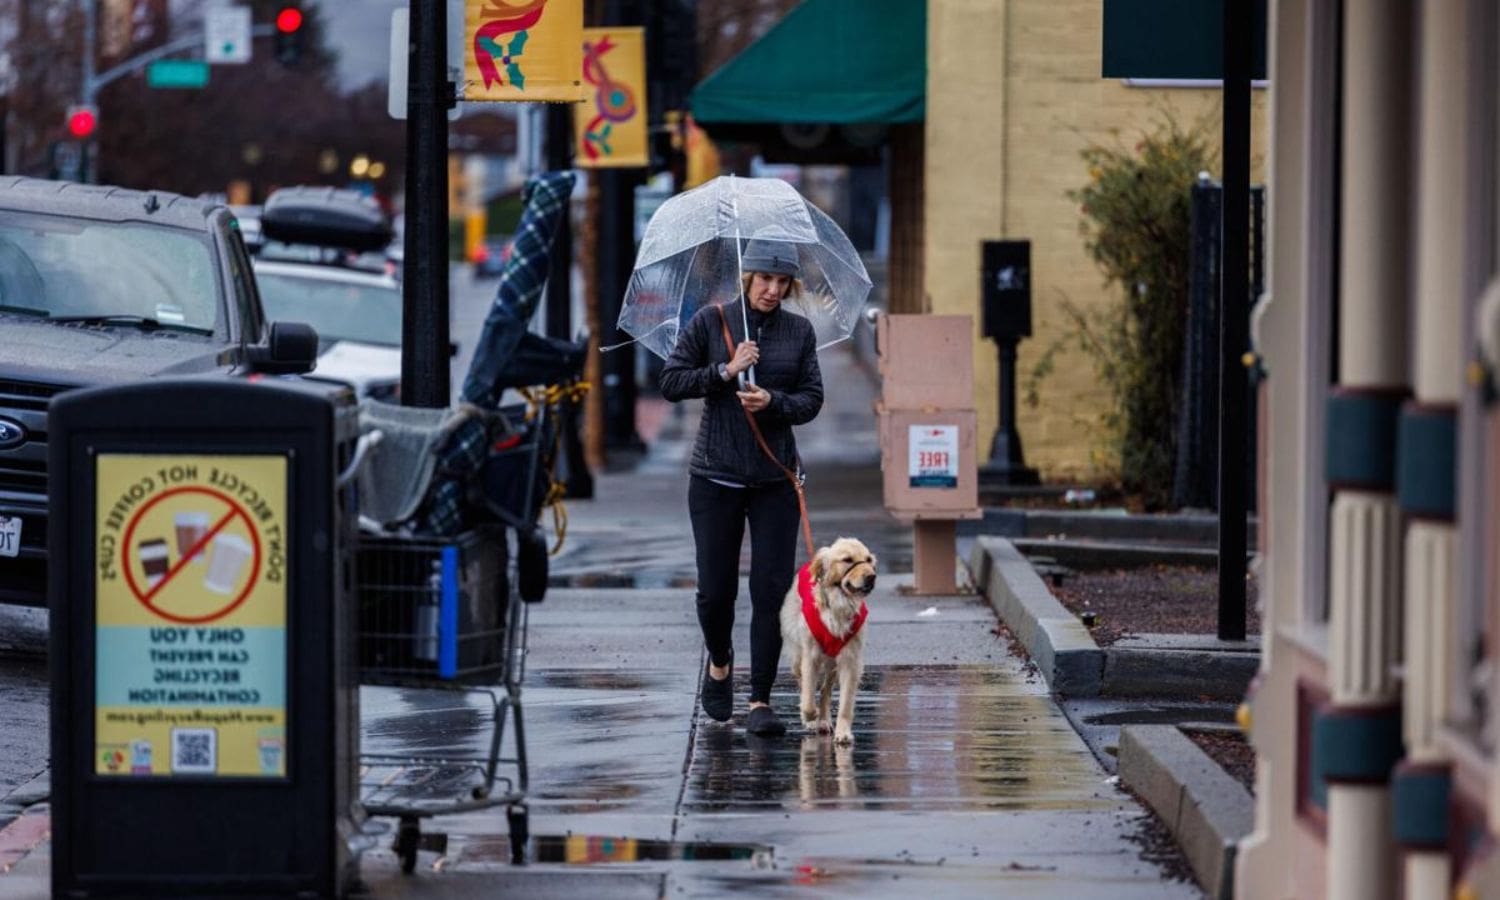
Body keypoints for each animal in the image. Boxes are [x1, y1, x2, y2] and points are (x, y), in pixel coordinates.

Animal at [780, 537, 876, 741]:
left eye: (868, 560)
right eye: (847, 560)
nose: (872, 577)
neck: (840, 604)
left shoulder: (850, 661)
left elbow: (845, 703)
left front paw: (843, 732)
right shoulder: (810, 657)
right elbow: (808, 696)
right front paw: (809, 717)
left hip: (833, 662)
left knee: (825, 689)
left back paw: (824, 720)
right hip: (797, 657)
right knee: (803, 683)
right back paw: (812, 720)